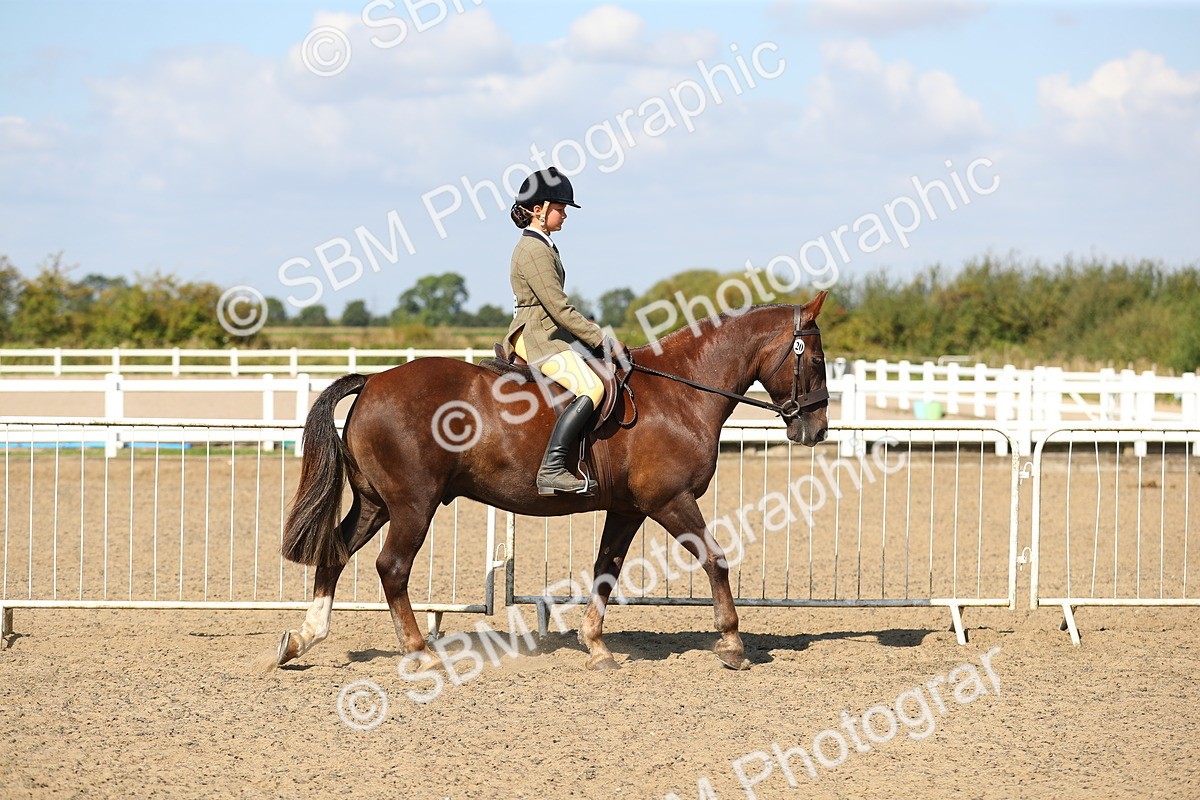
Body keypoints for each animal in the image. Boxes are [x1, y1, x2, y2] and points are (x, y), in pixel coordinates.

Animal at [271, 291, 829, 672]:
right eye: (819, 359)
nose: (817, 429)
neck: (680, 393)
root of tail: (372, 380)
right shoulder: (671, 500)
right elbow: (716, 559)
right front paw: (732, 643)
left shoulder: (627, 509)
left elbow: (606, 570)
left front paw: (596, 646)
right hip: (412, 505)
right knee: (392, 568)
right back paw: (420, 652)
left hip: (375, 503)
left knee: (336, 553)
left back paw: (301, 640)